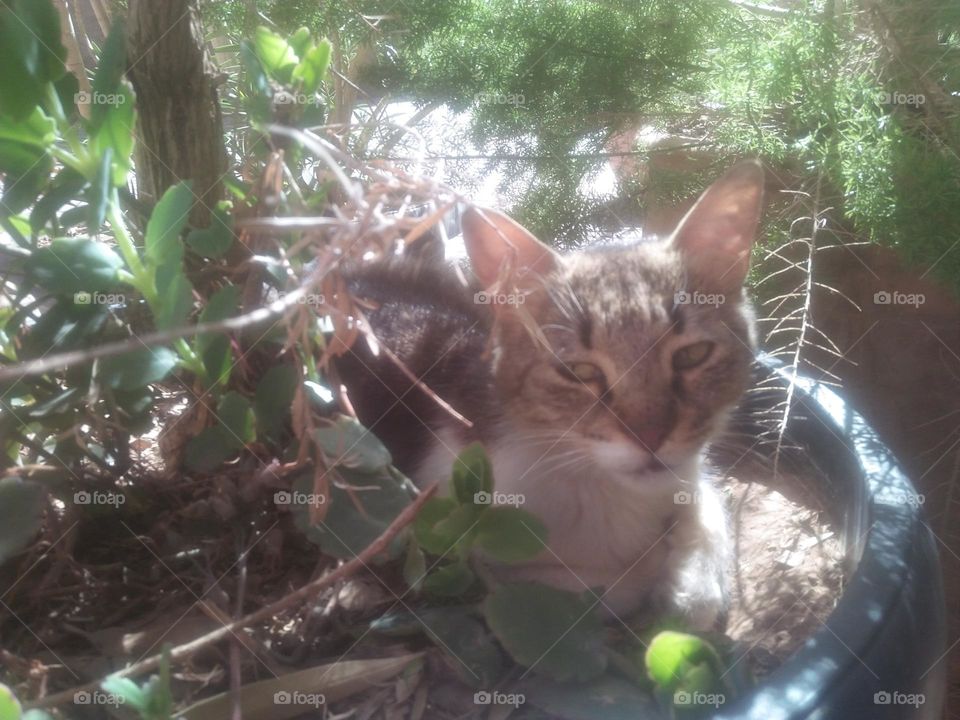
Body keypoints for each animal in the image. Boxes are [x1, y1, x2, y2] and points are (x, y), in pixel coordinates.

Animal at [338, 160, 764, 628]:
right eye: (579, 372)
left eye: (691, 356)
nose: (650, 437)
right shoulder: (459, 552)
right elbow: (601, 587)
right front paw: (658, 575)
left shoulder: (687, 474)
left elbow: (706, 511)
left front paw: (690, 585)